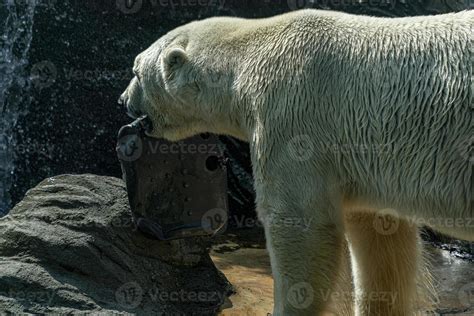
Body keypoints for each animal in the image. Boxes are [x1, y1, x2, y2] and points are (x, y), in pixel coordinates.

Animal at [119, 9, 474, 316]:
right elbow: (381, 237)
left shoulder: (291, 118)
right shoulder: (366, 158)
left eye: (135, 70)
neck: (250, 55)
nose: (122, 100)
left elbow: (299, 222)